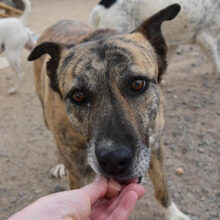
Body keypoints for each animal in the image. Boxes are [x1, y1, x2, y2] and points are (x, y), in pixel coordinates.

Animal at [28, 3, 190, 220]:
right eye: (78, 96)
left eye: (138, 84)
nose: (114, 160)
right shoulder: (79, 172)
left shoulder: (155, 146)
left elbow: (162, 186)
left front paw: (173, 214)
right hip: (47, 118)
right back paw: (60, 163)